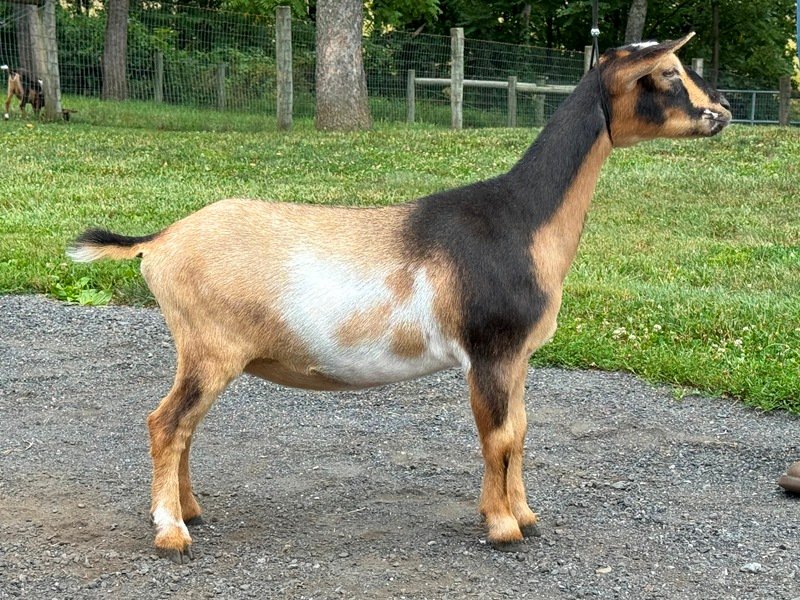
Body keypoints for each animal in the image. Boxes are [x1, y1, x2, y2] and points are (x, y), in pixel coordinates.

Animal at [68, 33, 731, 563]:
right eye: (667, 74)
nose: (722, 111)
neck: (518, 220)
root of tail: (159, 241)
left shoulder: (516, 357)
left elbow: (519, 431)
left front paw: (526, 515)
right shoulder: (489, 350)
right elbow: (498, 436)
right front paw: (502, 528)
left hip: (204, 352)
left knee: (182, 427)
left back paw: (191, 510)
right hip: (210, 349)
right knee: (166, 423)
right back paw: (172, 533)